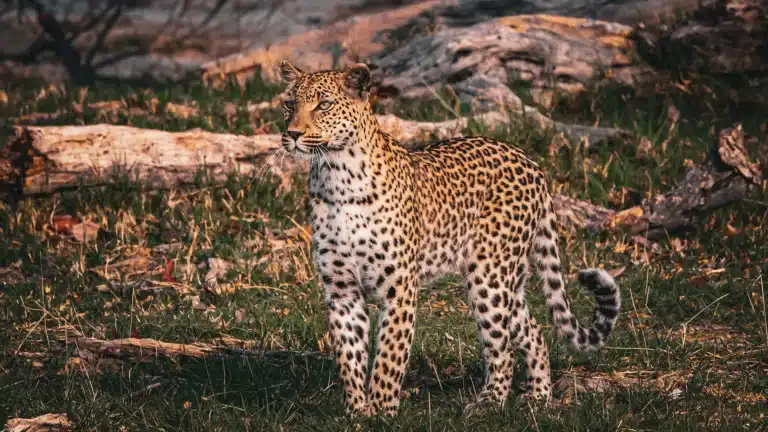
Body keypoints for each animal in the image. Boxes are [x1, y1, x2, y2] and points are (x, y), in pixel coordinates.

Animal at [277, 60, 621, 417]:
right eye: (289, 103)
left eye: (324, 104)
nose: (292, 134)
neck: (336, 175)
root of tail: (530, 161)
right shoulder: (342, 290)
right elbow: (349, 356)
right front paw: (357, 413)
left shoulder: (400, 289)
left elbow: (389, 357)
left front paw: (382, 413)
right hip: (508, 280)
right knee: (533, 331)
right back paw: (538, 398)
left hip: (490, 276)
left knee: (501, 349)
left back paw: (489, 404)